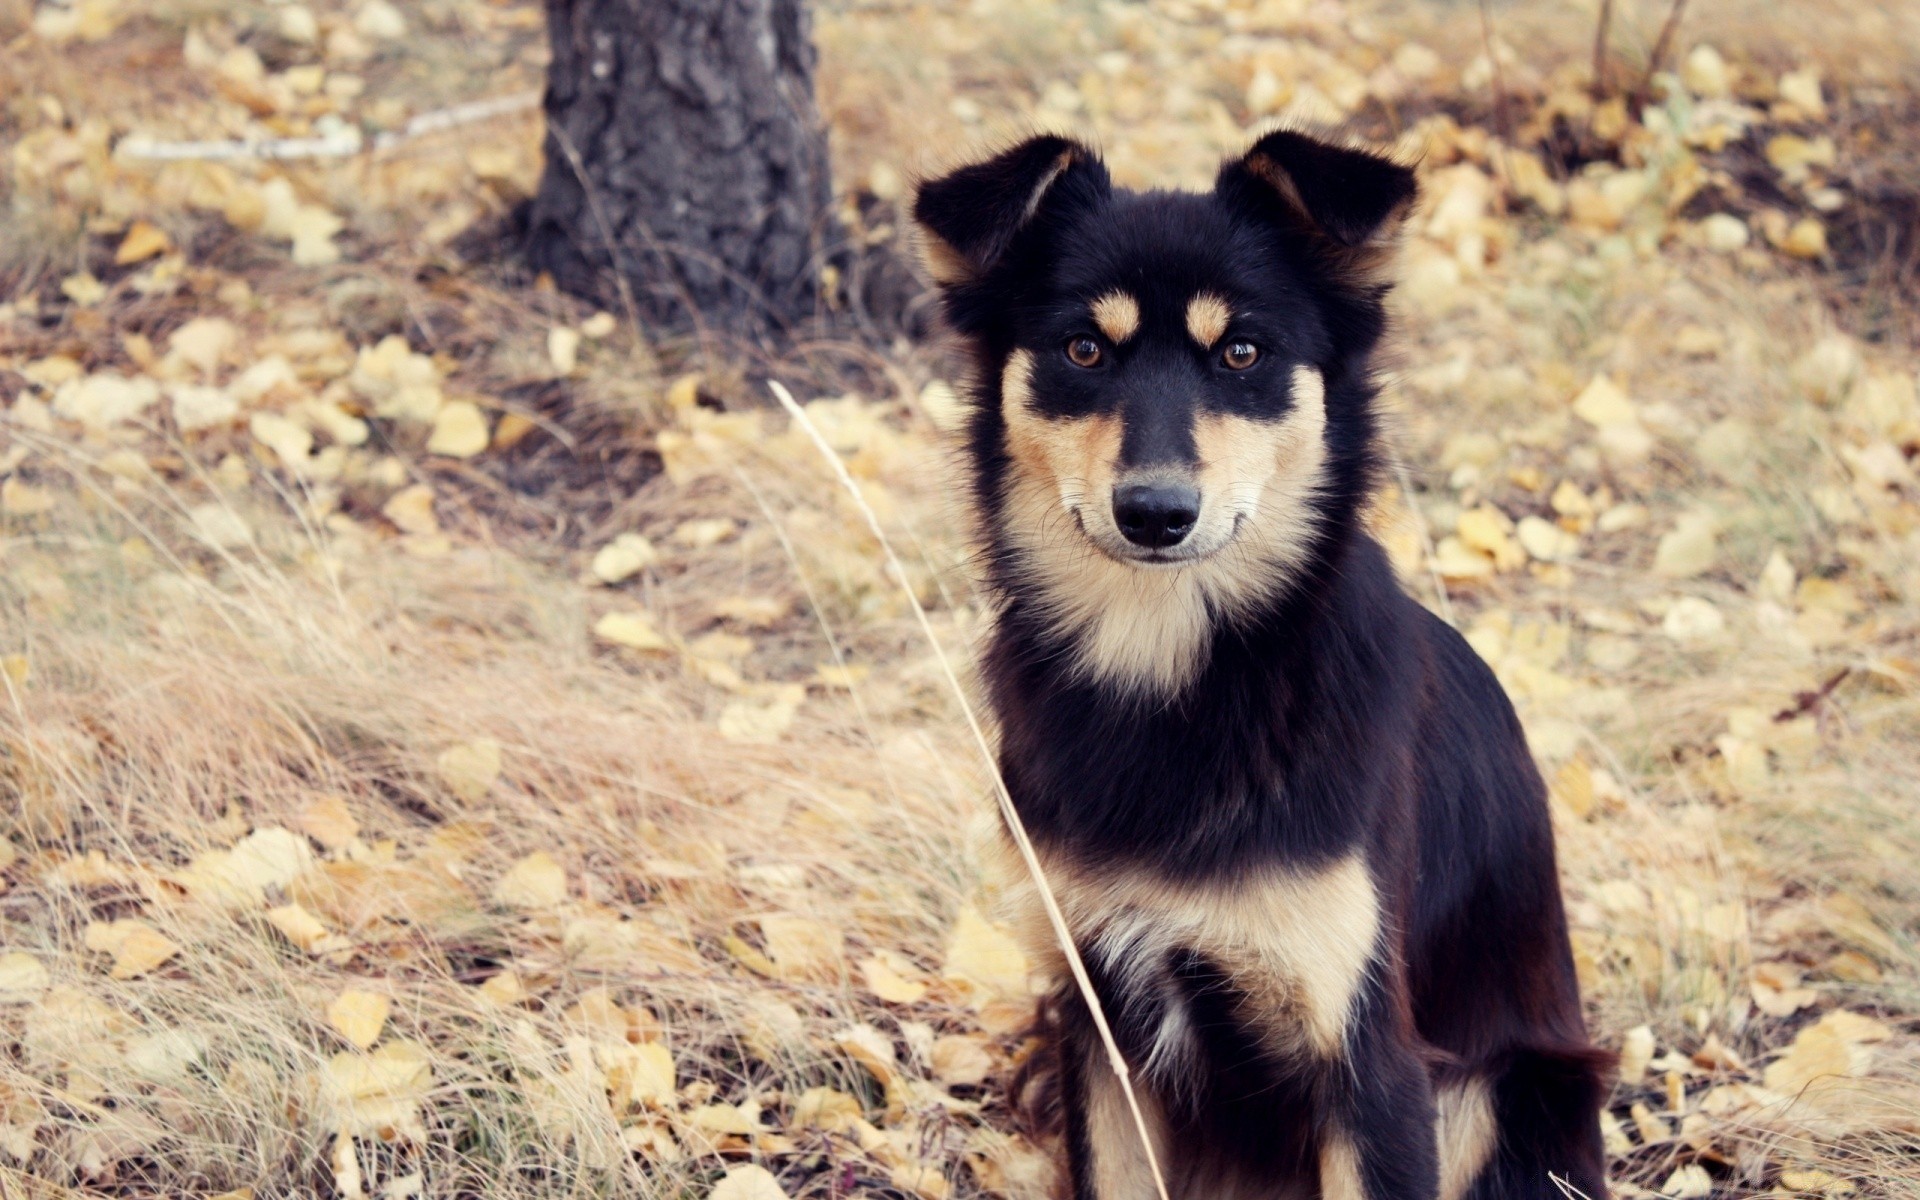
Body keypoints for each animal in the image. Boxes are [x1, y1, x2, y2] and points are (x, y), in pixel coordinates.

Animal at [910, 130, 1605, 1198]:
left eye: (1242, 352)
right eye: (1084, 349)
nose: (1155, 512)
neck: (1173, 671)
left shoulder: (1372, 1061)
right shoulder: (1098, 1025)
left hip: (1508, 1091)